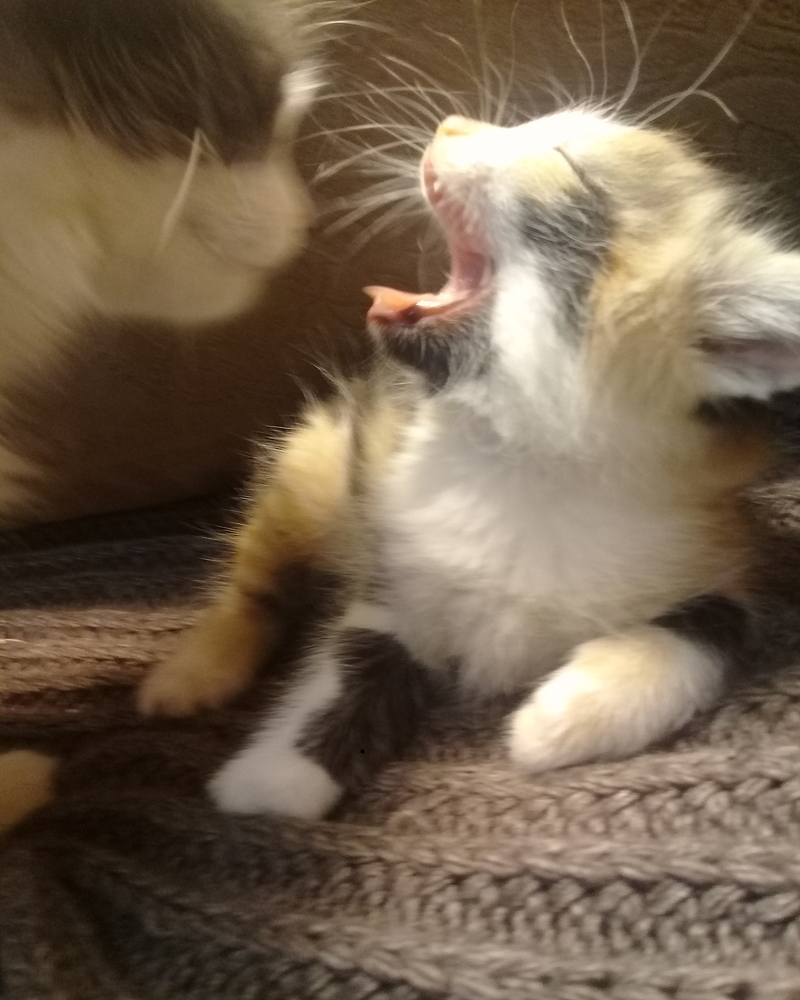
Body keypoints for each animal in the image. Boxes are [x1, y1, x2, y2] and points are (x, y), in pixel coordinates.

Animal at [135, 106, 800, 821]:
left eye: (563, 159)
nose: (453, 124)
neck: (528, 460)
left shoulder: (727, 556)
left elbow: (712, 625)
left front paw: (566, 718)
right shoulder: (392, 584)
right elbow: (353, 660)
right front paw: (276, 783)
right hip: (314, 465)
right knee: (256, 584)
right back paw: (195, 672)